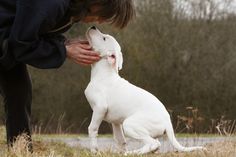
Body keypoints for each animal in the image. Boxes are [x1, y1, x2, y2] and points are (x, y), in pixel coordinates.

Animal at [85, 26, 205, 155]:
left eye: (104, 38)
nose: (93, 26)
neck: (103, 73)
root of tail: (167, 123)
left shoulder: (100, 108)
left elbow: (92, 128)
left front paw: (94, 151)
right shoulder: (116, 122)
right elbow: (120, 140)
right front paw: (119, 151)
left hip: (130, 124)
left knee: (153, 143)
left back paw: (132, 153)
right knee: (154, 144)